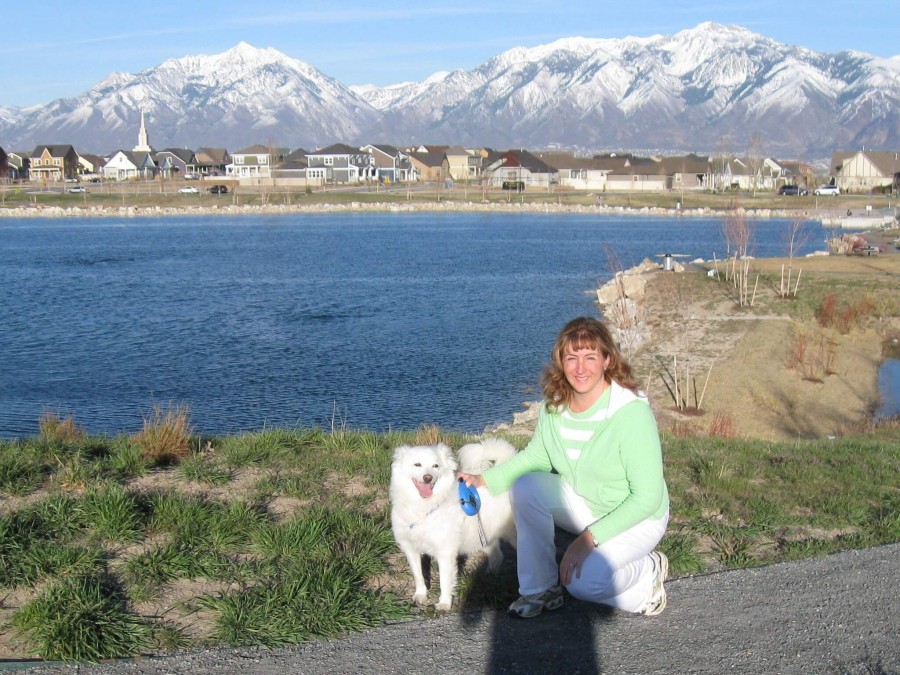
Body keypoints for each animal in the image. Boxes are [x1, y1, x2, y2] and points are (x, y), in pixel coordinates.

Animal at [390, 438, 516, 612]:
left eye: (435, 466)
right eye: (417, 465)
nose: (428, 477)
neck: (424, 507)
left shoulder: (445, 551)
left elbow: (444, 580)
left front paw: (444, 603)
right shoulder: (410, 547)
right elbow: (418, 575)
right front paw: (420, 595)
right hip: (484, 535)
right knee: (497, 555)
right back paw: (487, 578)